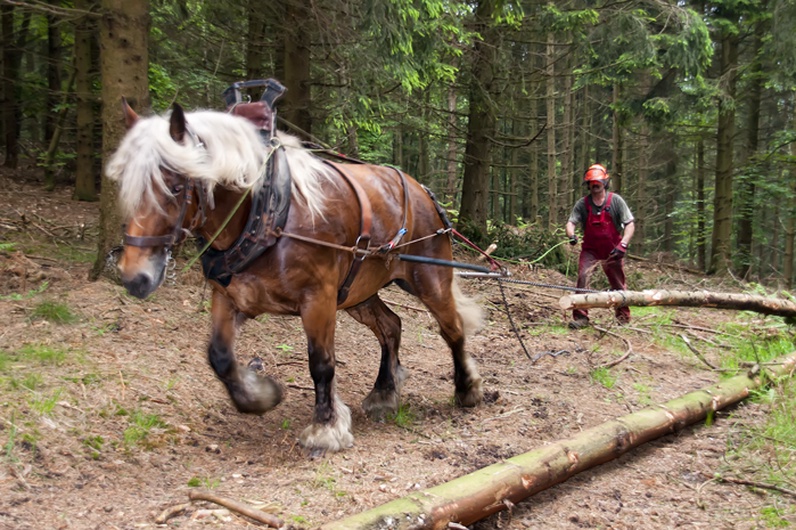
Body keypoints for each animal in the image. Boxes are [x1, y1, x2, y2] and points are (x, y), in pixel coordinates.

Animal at [108, 101, 482, 452]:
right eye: (124, 183)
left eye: (173, 187)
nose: (134, 276)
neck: (265, 213)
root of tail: (424, 193)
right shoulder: (229, 297)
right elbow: (219, 357)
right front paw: (260, 395)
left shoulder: (318, 299)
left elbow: (321, 363)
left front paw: (325, 428)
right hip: (358, 293)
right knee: (391, 326)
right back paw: (384, 393)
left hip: (429, 278)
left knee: (452, 329)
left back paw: (467, 389)